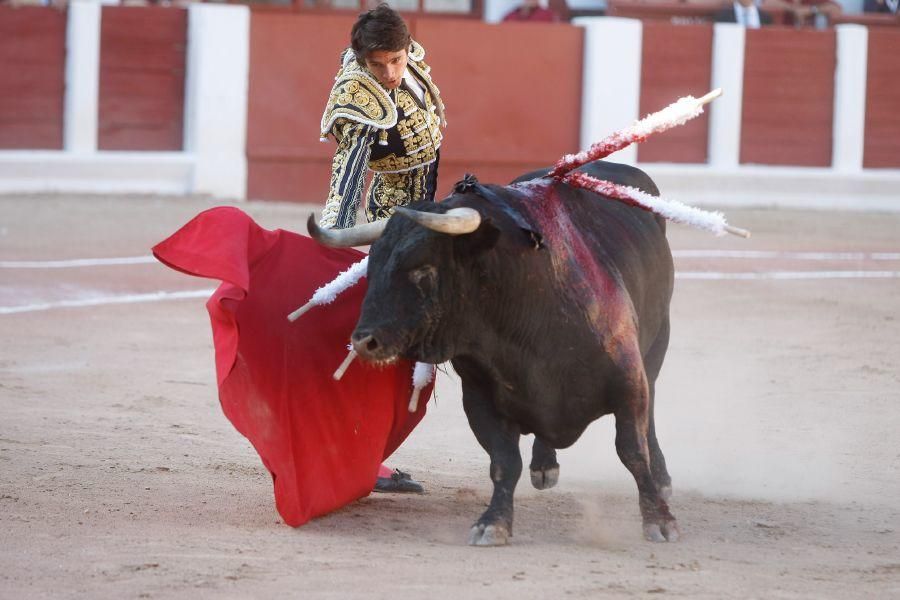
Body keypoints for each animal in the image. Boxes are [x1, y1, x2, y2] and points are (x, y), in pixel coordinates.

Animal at [308, 162, 676, 548]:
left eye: (424, 269)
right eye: (373, 266)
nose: (364, 340)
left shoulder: (627, 381)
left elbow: (632, 450)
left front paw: (659, 520)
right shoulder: (479, 397)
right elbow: (504, 461)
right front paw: (494, 522)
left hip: (656, 347)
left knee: (649, 414)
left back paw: (662, 479)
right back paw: (544, 464)